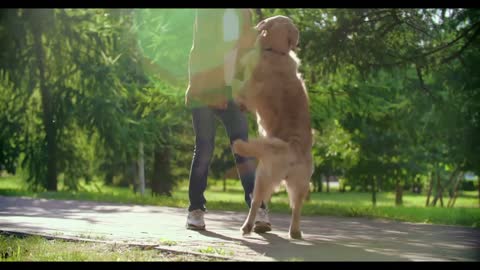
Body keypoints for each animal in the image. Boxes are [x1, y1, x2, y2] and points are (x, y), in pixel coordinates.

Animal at [231, 15, 314, 238]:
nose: (257, 24)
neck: (276, 52)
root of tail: (292, 148)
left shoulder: (246, 91)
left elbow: (237, 88)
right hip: (300, 184)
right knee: (297, 208)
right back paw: (295, 232)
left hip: (262, 176)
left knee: (255, 202)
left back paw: (247, 226)